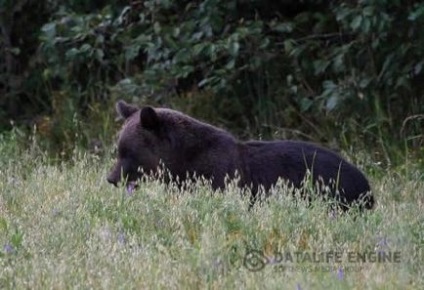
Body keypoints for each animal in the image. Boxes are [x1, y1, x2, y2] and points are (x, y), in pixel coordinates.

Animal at [106, 99, 374, 211]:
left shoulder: (218, 176)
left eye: (127, 151)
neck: (181, 161)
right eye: (119, 149)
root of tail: (367, 184)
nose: (111, 177)